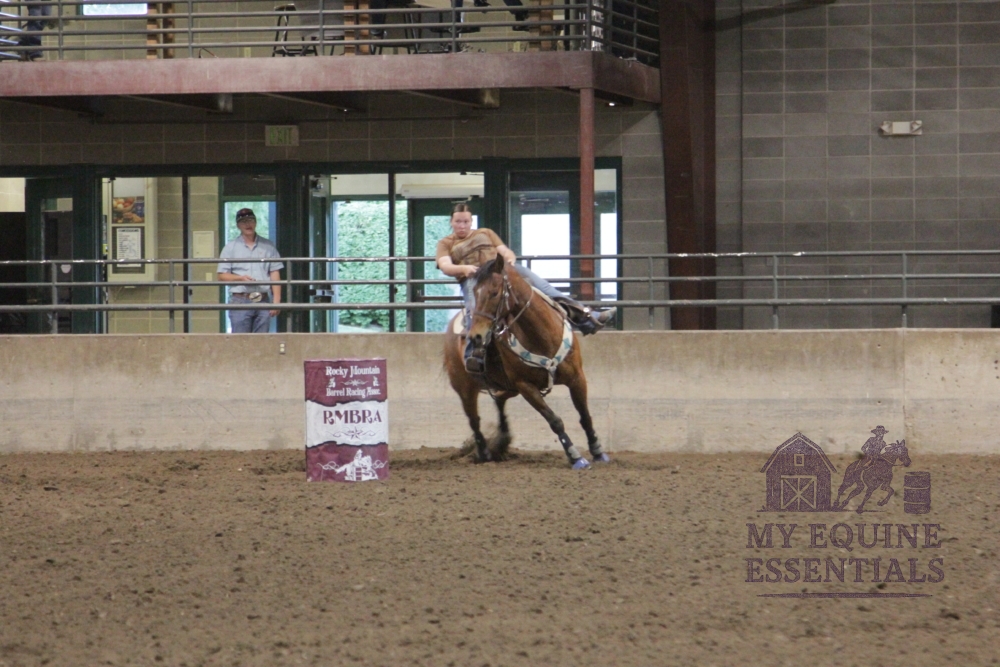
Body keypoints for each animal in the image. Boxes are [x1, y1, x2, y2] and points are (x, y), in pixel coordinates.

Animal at [443, 255, 609, 469]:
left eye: (494, 293)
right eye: (474, 293)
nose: (476, 337)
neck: (543, 336)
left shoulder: (577, 377)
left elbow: (585, 416)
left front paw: (598, 452)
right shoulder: (526, 387)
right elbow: (554, 420)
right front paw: (575, 457)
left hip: (507, 386)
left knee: (499, 400)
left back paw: (502, 439)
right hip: (465, 388)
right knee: (474, 420)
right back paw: (484, 453)